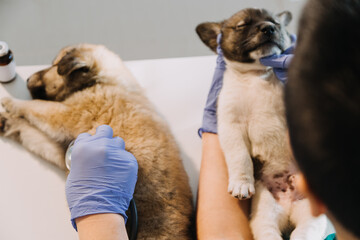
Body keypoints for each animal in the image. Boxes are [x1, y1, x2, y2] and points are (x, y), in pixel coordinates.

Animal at [0, 44, 194, 239]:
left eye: (55, 66)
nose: (27, 80)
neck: (102, 81)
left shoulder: (65, 114)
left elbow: (34, 106)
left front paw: (9, 101)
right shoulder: (61, 149)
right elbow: (29, 131)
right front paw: (8, 122)